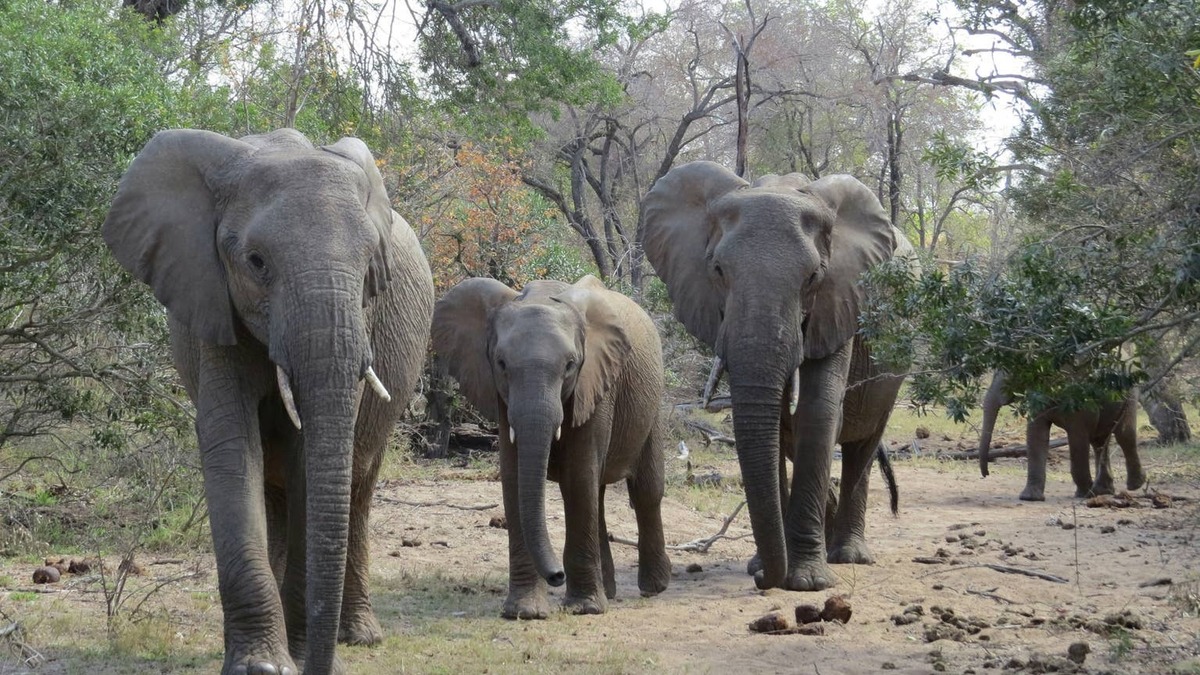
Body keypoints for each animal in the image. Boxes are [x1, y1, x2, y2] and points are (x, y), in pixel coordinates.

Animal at [103, 128, 434, 674]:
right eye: (256, 263)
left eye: (371, 269)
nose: (322, 666)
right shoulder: (209, 298)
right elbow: (232, 448)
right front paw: (261, 665)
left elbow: (310, 461)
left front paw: (297, 653)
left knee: (358, 486)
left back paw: (359, 635)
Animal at [431, 275, 670, 618]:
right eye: (501, 363)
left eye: (570, 365)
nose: (557, 575)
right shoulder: (500, 393)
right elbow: (516, 478)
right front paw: (525, 612)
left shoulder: (595, 382)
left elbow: (579, 476)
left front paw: (585, 609)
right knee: (598, 494)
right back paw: (609, 591)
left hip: (653, 405)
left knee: (645, 491)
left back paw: (654, 588)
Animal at [642, 162, 912, 592]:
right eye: (717, 270)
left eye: (814, 277)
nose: (763, 580)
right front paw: (763, 567)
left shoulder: (840, 301)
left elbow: (818, 412)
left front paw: (807, 582)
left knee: (863, 445)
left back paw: (848, 555)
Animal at [978, 370, 1146, 501]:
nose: (986, 474)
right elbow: (1036, 434)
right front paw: (1030, 498)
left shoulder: (1080, 396)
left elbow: (1077, 436)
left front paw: (1084, 494)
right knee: (1099, 440)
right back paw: (1103, 491)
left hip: (1130, 392)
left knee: (1124, 434)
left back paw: (1133, 485)